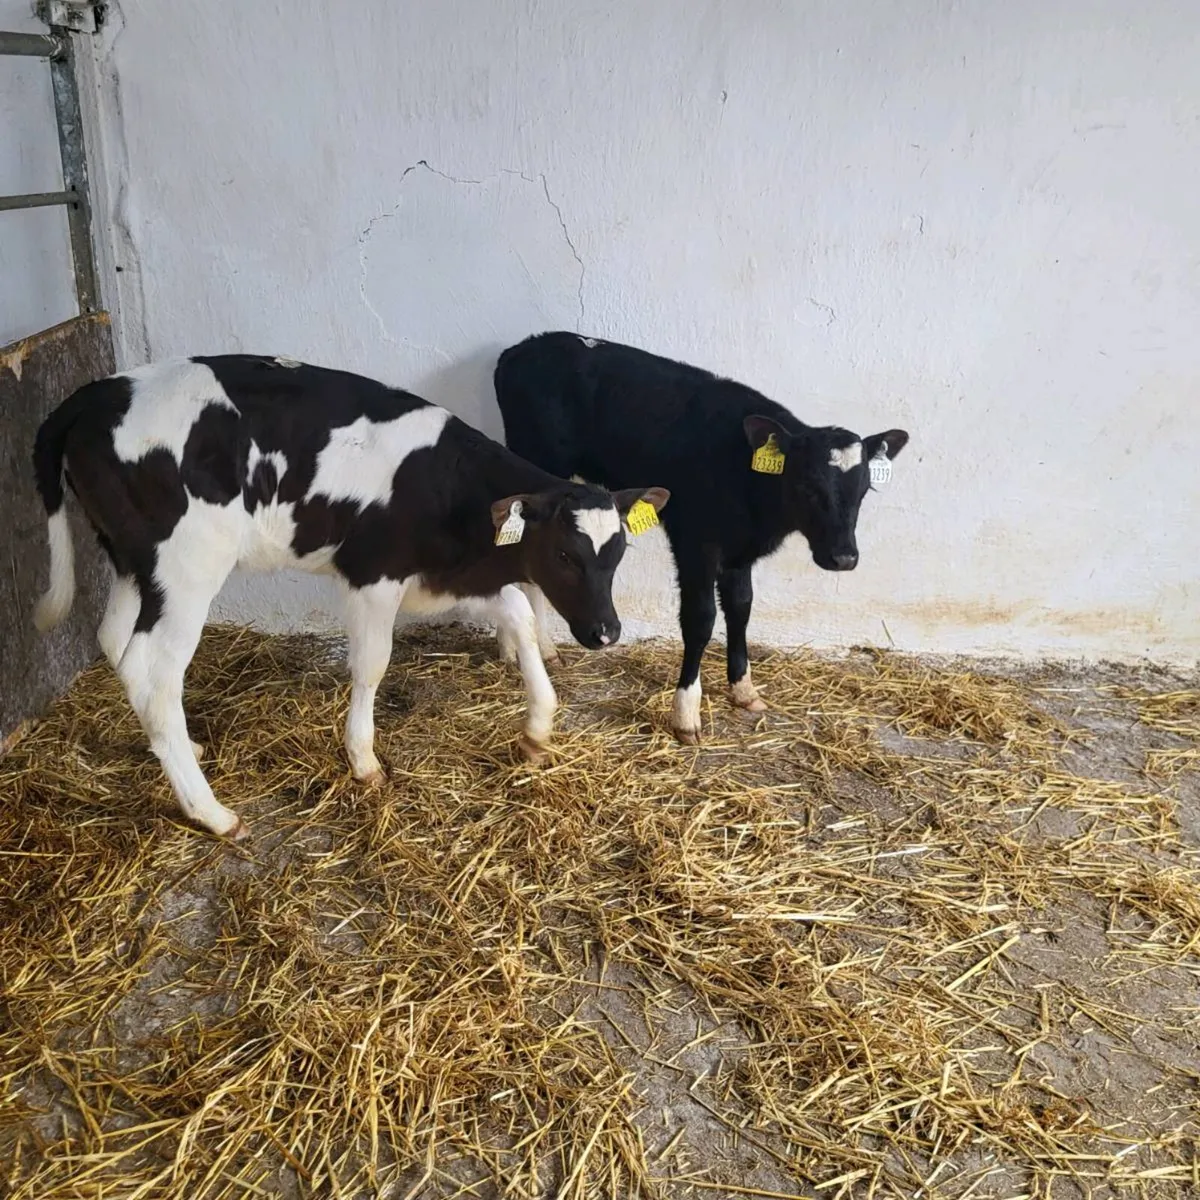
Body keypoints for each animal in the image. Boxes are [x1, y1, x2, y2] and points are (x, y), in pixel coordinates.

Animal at [31, 355, 669, 838]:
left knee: (114, 640)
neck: (446, 484)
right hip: (186, 565)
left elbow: (517, 614)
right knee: (152, 672)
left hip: (131, 560)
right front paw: (363, 761)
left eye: (617, 553)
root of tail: (93, 394)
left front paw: (537, 727)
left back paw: (181, 751)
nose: (606, 632)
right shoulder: (373, 574)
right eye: (564, 555)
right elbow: (371, 664)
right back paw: (211, 811)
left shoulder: (448, 575)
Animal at [494, 332, 908, 744]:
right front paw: (686, 712)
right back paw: (537, 647)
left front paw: (743, 688)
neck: (746, 477)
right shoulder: (696, 542)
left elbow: (741, 607)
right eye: (807, 486)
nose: (844, 558)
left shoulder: (741, 551)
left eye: (865, 489)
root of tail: (521, 348)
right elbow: (701, 618)